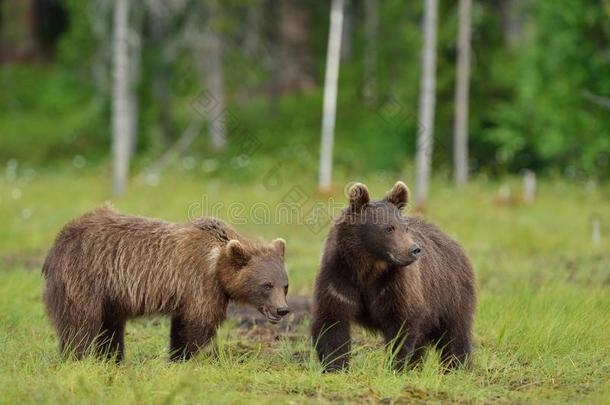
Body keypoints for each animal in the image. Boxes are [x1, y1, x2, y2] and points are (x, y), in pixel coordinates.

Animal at [42, 205, 290, 360]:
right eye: (266, 285)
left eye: (285, 285)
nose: (282, 309)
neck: (218, 264)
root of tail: (60, 237)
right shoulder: (200, 283)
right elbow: (198, 324)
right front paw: (189, 357)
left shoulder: (189, 293)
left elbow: (181, 326)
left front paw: (176, 356)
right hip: (85, 277)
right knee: (80, 324)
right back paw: (76, 356)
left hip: (110, 296)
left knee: (111, 327)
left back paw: (113, 359)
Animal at [308, 181, 476, 370]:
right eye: (389, 228)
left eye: (406, 227)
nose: (414, 249)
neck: (367, 267)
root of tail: (451, 239)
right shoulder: (339, 278)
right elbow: (333, 323)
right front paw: (335, 366)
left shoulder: (393, 285)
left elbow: (401, 326)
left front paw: (397, 365)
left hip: (449, 294)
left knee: (454, 333)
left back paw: (457, 366)